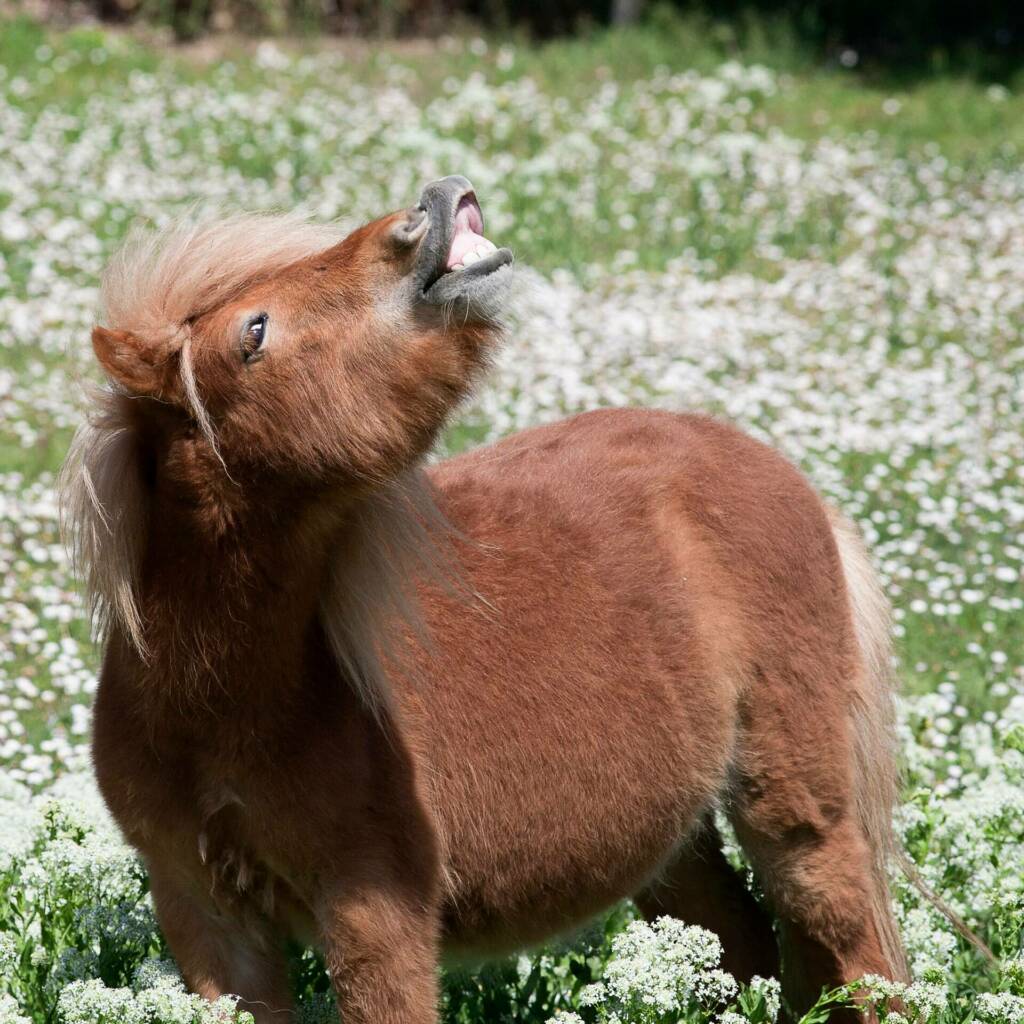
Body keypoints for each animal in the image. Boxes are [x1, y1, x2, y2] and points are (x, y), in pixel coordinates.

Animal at [60, 175, 908, 1023]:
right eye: (255, 330)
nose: (432, 206)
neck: (223, 706)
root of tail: (779, 471)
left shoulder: (377, 915)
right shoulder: (207, 920)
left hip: (798, 817)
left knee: (858, 960)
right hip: (675, 843)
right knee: (742, 946)